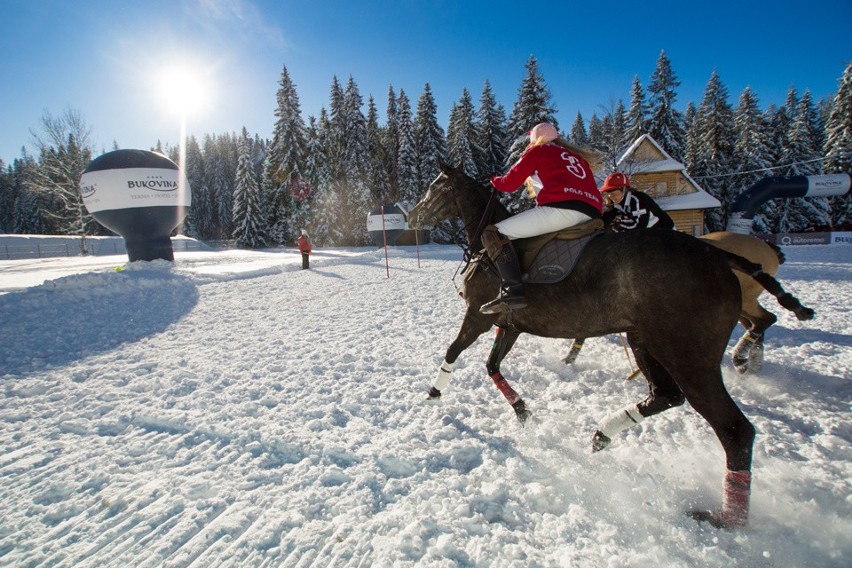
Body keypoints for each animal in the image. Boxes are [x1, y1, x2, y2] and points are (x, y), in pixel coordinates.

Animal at [410, 162, 816, 532]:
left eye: (435, 186)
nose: (413, 215)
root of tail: (717, 255)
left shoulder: (479, 315)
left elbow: (453, 351)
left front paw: (433, 392)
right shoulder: (510, 325)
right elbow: (492, 365)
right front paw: (523, 411)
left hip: (688, 354)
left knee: (734, 428)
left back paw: (726, 518)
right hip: (644, 338)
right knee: (667, 394)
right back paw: (603, 434)